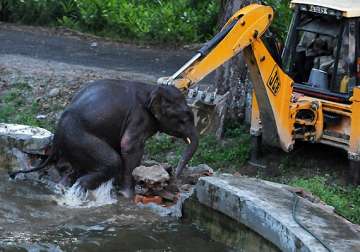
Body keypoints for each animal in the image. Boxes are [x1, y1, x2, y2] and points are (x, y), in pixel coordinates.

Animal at [11, 79, 198, 198]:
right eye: (185, 118)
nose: (175, 177)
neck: (152, 88)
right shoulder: (138, 118)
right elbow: (129, 146)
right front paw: (127, 196)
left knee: (72, 171)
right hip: (79, 138)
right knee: (112, 162)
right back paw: (79, 190)